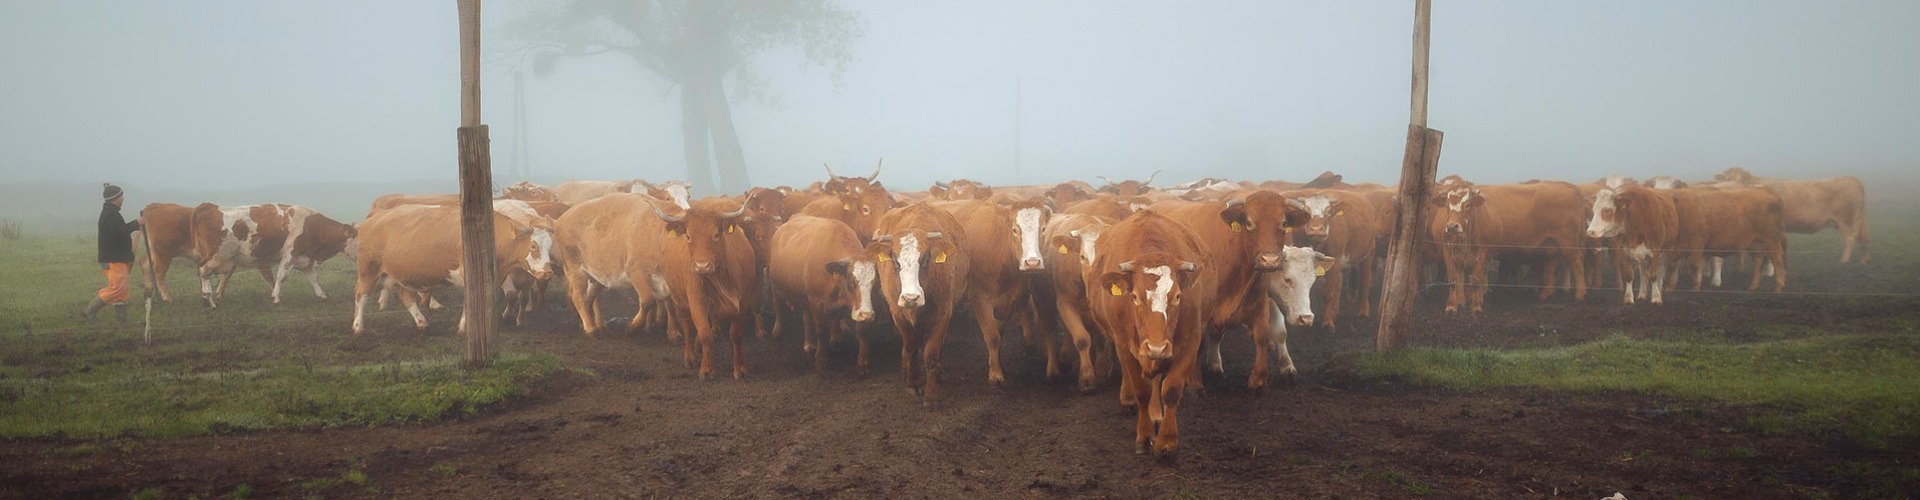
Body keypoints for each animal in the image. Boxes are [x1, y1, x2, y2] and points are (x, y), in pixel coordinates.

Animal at [768, 214, 879, 375]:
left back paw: (809, 344)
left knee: (806, 315)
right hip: (775, 285)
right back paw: (777, 331)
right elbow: (821, 330)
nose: (867, 314)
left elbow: (861, 330)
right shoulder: (816, 302)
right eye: (852, 282)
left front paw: (862, 363)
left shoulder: (858, 306)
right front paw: (821, 359)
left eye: (874, 282)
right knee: (777, 304)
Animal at [871, 200, 967, 400]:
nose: (911, 297)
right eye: (895, 261)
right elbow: (912, 346)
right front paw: (914, 382)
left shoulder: (942, 313)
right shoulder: (898, 313)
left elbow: (931, 353)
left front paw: (931, 394)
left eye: (925, 259)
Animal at [1090, 208, 1205, 455]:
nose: (1156, 346)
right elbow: (1141, 390)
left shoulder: (1190, 341)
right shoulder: (1123, 344)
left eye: (1177, 296)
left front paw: (1167, 441)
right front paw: (1144, 436)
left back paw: (1156, 415)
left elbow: (1171, 389)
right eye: (1134, 296)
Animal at [1712, 167, 1858, 263]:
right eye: (1728, 178)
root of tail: (1851, 178)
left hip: (1846, 220)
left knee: (1851, 238)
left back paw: (1844, 260)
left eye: (1743, 180)